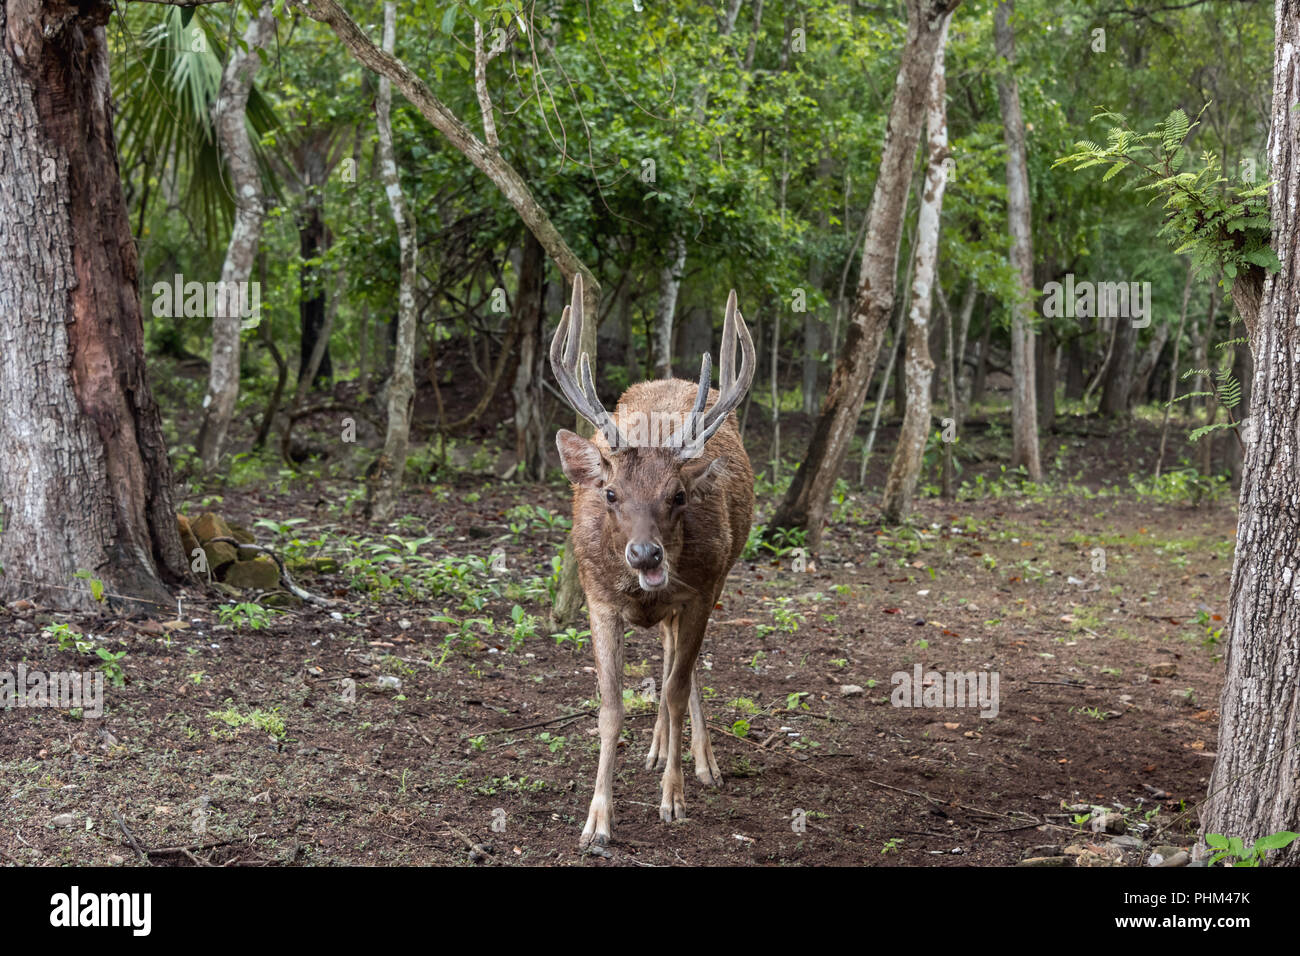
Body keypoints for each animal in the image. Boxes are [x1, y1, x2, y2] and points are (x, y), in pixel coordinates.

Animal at [550, 274, 755, 848]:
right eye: (611, 492)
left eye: (679, 495)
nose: (645, 554)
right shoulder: (597, 599)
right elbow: (611, 706)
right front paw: (597, 822)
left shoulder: (700, 590)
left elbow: (678, 688)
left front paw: (674, 799)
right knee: (665, 653)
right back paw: (657, 750)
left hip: (717, 580)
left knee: (678, 670)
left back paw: (701, 763)